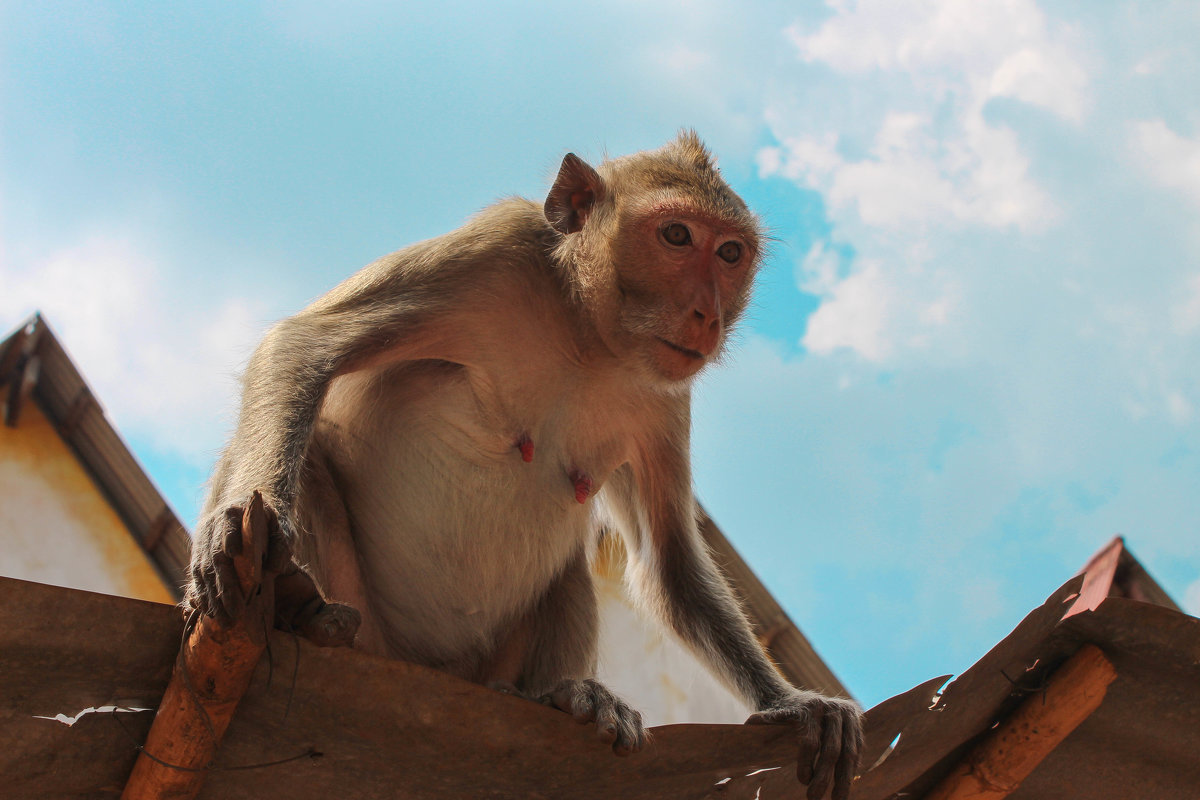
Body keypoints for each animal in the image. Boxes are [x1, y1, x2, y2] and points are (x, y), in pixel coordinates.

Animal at [187, 133, 864, 800]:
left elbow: (669, 560)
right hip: (371, 631)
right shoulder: (494, 252)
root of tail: (436, 673)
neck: (585, 334)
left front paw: (793, 703)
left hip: (495, 671)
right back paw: (304, 615)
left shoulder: (666, 394)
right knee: (309, 463)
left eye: (729, 253)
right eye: (676, 235)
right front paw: (236, 531)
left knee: (569, 573)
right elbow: (306, 347)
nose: (708, 314)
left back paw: (567, 698)